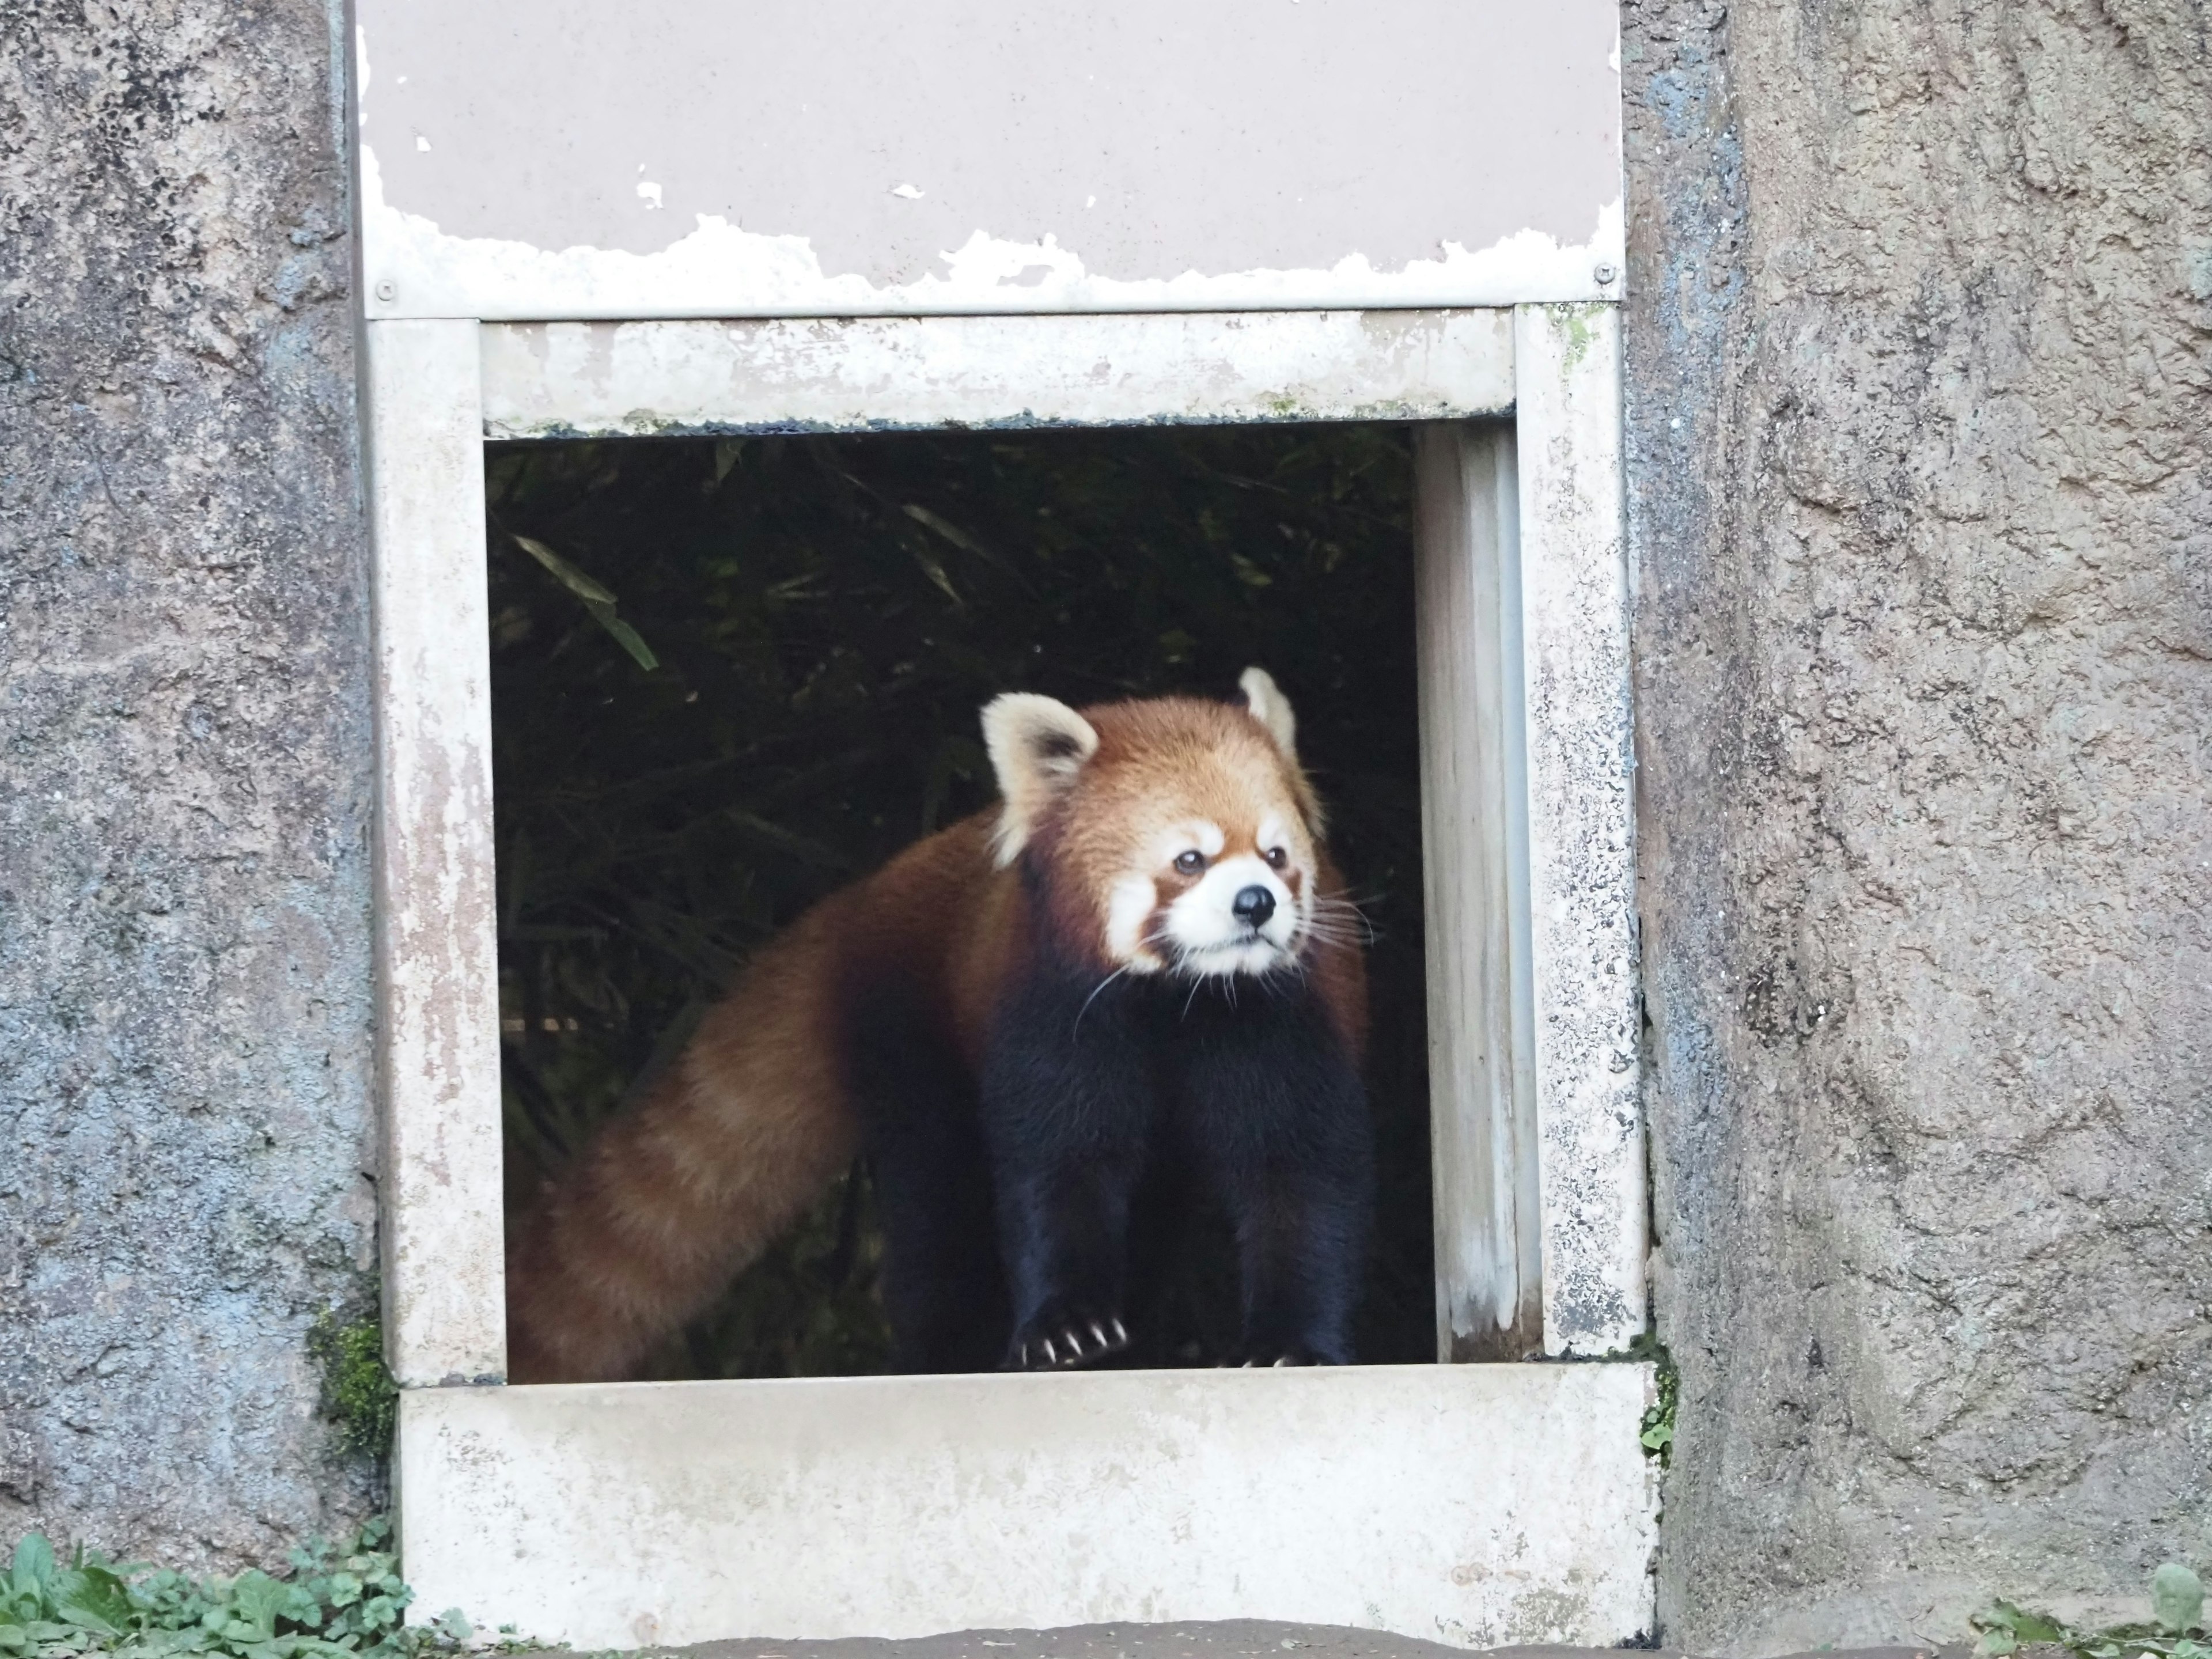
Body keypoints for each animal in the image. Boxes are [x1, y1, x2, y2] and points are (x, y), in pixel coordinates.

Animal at [506, 668, 1362, 1380]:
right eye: (1190, 860)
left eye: (1277, 854)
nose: (1256, 903)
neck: (1183, 1001)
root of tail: (864, 898)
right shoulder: (1048, 1012)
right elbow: (1056, 1171)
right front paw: (1067, 1331)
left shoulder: (1282, 1024)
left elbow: (1300, 1178)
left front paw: (1290, 1344)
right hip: (910, 1038)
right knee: (937, 1214)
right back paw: (946, 1352)